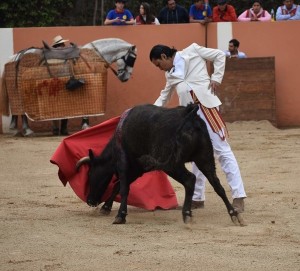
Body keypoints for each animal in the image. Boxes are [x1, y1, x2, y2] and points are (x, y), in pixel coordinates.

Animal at [75, 104, 244, 225]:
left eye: (90, 173)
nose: (90, 200)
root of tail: (189, 116)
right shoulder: (138, 168)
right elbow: (119, 186)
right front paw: (106, 208)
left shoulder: (124, 163)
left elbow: (123, 188)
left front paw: (120, 216)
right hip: (205, 158)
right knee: (217, 184)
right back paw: (234, 215)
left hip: (172, 164)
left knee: (190, 179)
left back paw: (187, 214)